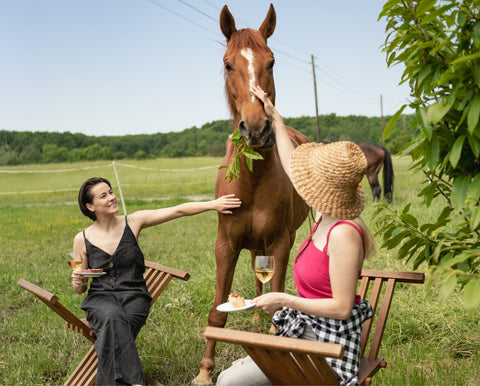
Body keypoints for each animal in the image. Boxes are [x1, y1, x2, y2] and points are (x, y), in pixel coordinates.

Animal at [193, 4, 310, 384]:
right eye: (228, 64)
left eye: (271, 62)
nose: (257, 128)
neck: (253, 179)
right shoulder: (225, 245)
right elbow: (217, 314)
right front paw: (204, 371)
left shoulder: (280, 243)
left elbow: (278, 299)